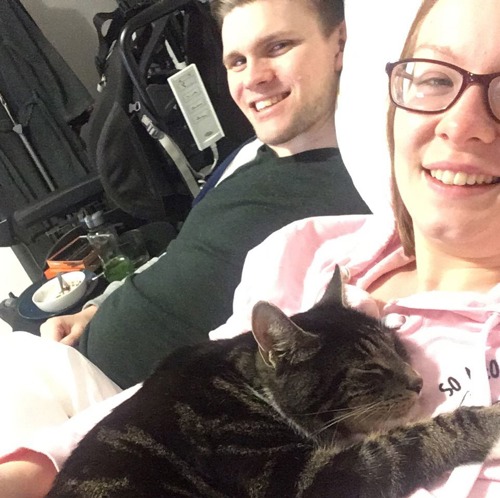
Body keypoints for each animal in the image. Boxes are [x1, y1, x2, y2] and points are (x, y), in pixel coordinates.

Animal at [47, 268, 500, 498]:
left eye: (398, 348)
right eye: (369, 369)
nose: (419, 381)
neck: (246, 382)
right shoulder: (299, 480)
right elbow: (412, 442)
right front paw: (489, 419)